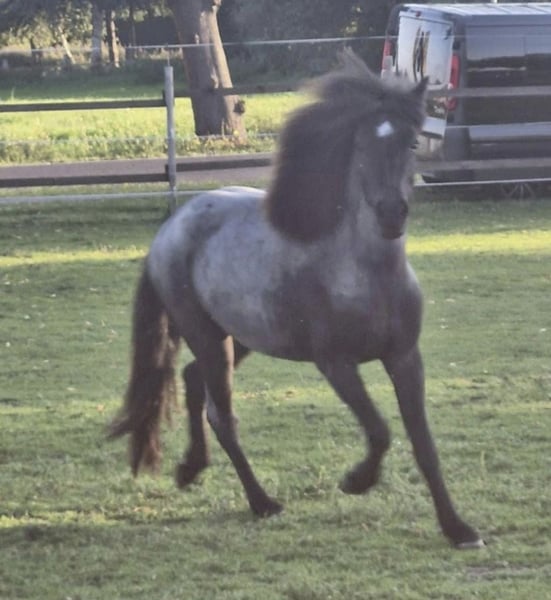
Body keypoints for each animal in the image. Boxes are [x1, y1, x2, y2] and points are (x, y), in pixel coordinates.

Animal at [109, 50, 483, 549]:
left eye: (411, 143)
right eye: (362, 144)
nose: (390, 214)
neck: (366, 275)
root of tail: (171, 228)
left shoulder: (405, 357)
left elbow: (424, 444)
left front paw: (458, 529)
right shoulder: (335, 364)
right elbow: (380, 430)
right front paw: (356, 481)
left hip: (239, 336)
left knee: (192, 382)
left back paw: (191, 469)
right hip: (206, 335)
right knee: (221, 414)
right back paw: (261, 502)